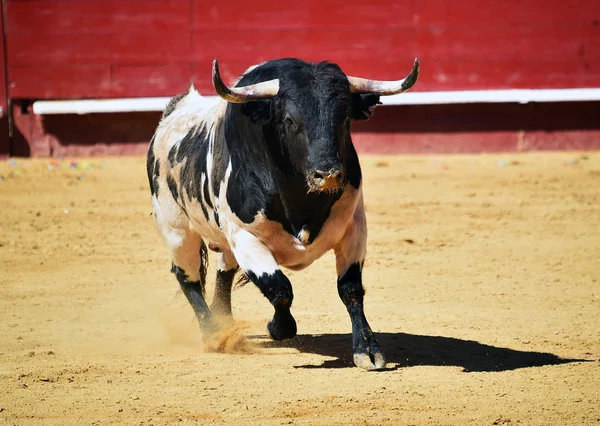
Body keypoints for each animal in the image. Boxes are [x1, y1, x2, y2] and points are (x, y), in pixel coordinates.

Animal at [146, 56, 420, 370]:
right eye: (290, 120)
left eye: (345, 118)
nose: (327, 174)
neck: (300, 200)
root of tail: (172, 112)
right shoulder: (245, 236)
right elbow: (280, 288)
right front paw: (277, 328)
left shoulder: (354, 227)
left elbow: (350, 289)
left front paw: (367, 349)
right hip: (177, 230)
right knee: (188, 278)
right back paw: (214, 335)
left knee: (223, 270)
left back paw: (224, 324)